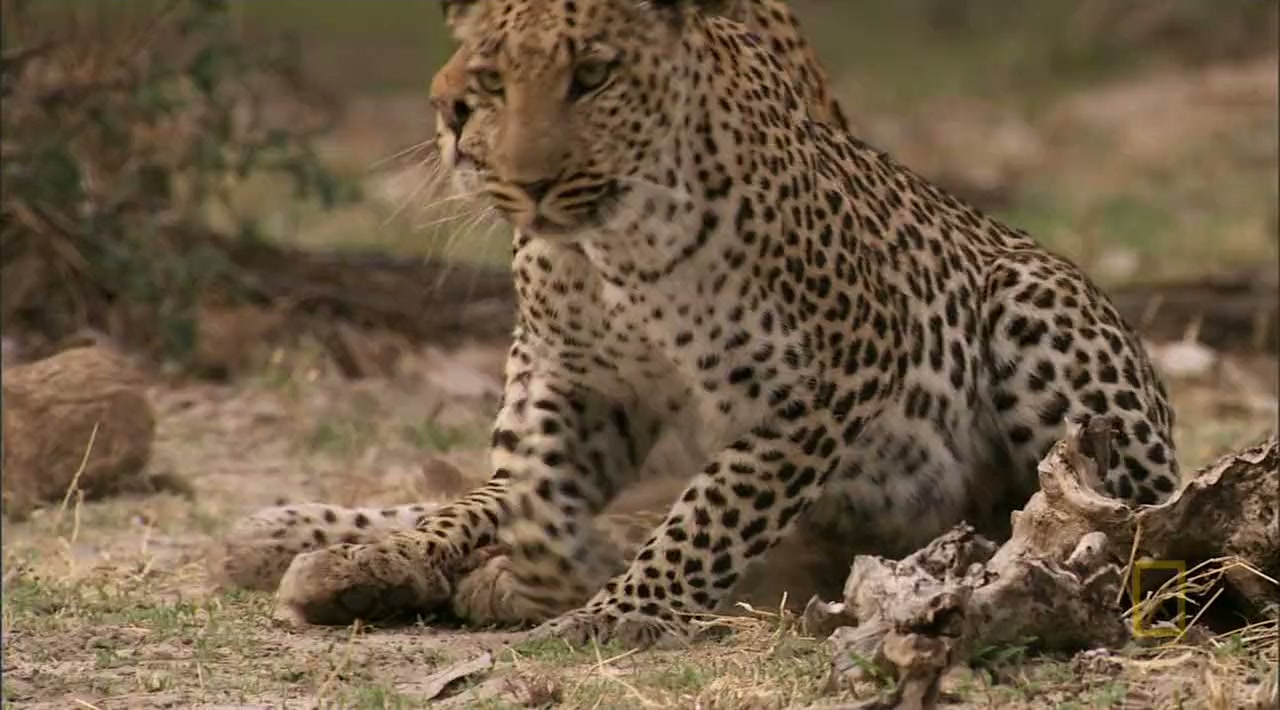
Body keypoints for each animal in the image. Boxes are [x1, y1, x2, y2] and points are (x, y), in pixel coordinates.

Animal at [226, 0, 1180, 648]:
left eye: (591, 77)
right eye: (488, 76)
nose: (452, 111)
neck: (615, 249)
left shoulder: (831, 373)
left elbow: (714, 508)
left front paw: (613, 613)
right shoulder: (574, 381)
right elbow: (520, 492)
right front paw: (523, 570)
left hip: (1034, 311)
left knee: (1117, 521)